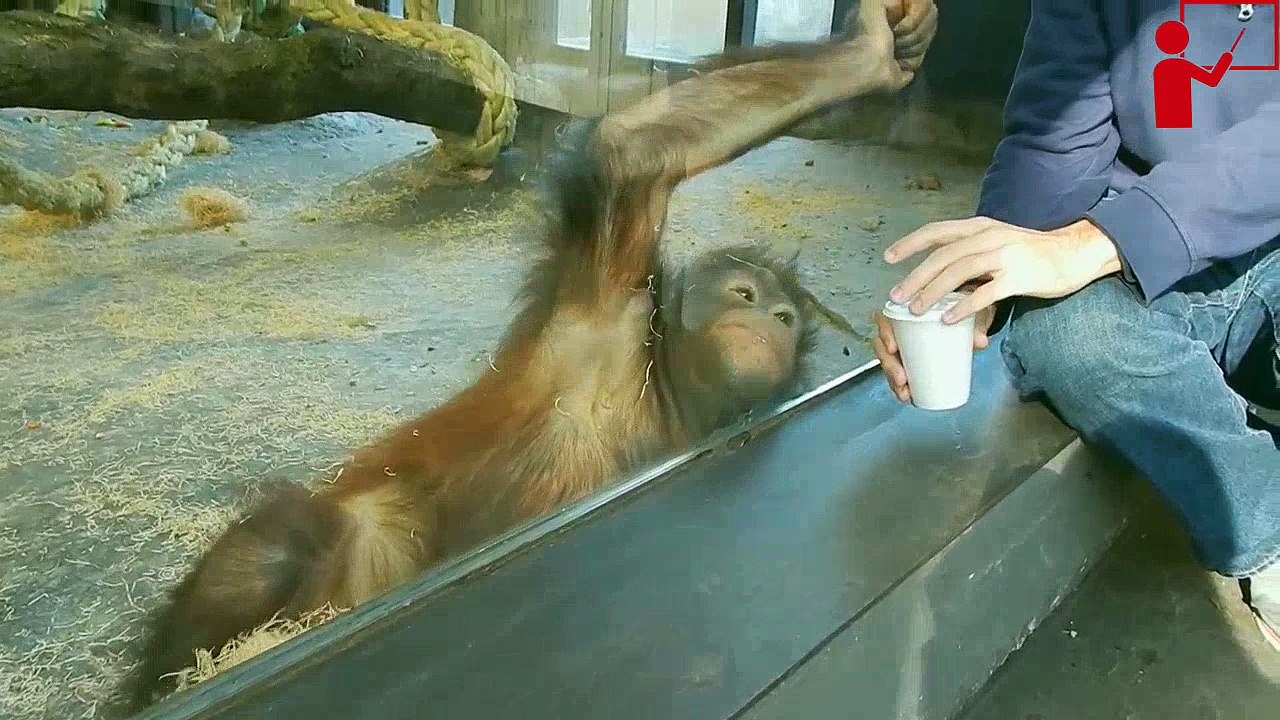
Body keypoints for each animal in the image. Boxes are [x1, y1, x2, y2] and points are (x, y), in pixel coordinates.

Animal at [123, 0, 927, 710]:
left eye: (785, 315)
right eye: (744, 292)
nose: (768, 317)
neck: (663, 392)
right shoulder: (604, 303)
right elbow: (632, 152)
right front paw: (872, 51)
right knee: (277, 553)